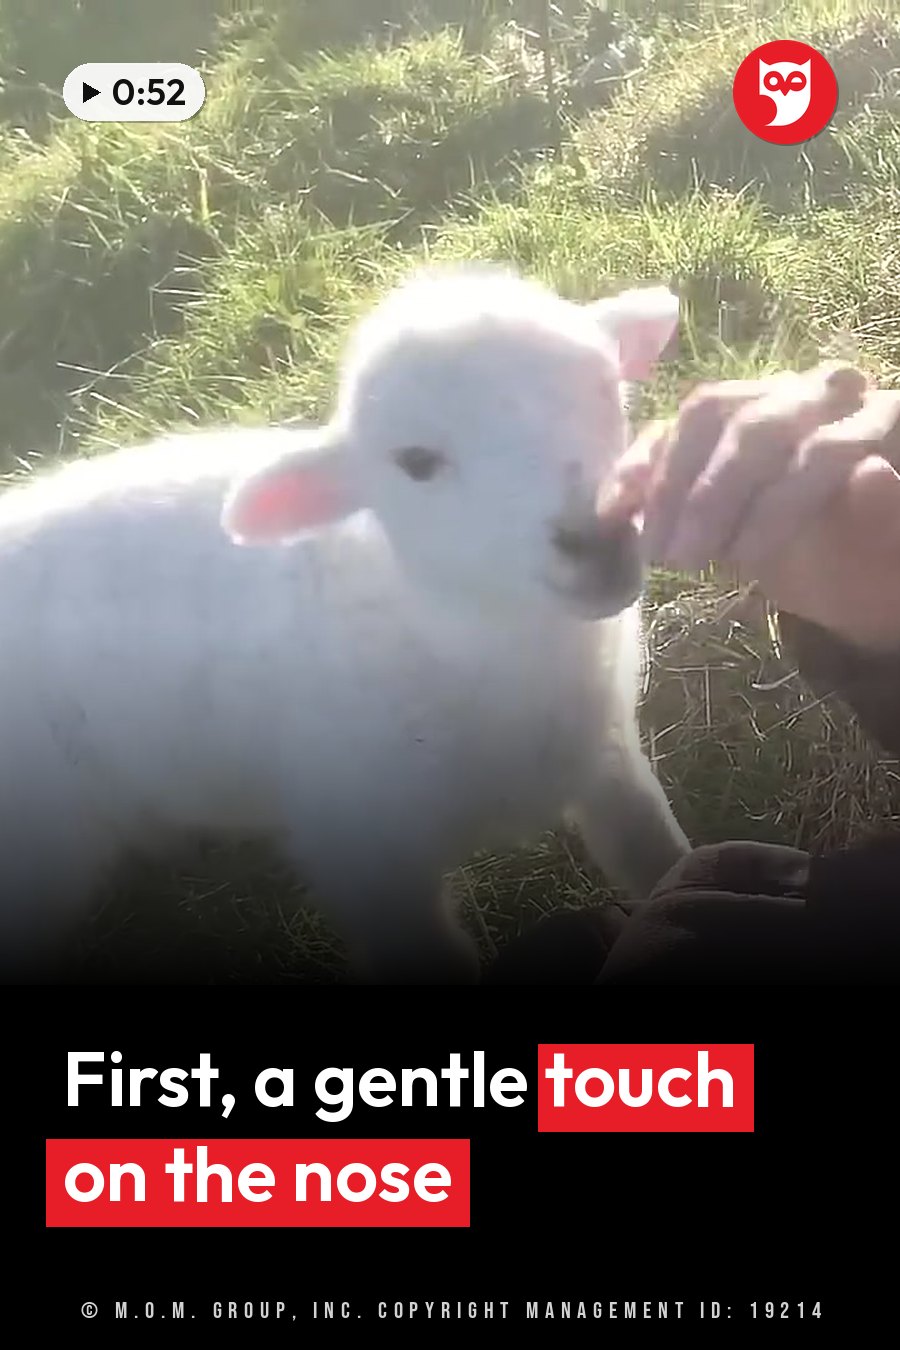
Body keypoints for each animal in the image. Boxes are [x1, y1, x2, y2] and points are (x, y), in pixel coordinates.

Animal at [0, 264, 689, 983]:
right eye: (415, 462)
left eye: (606, 388)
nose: (597, 537)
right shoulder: (363, 851)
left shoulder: (610, 757)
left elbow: (660, 859)